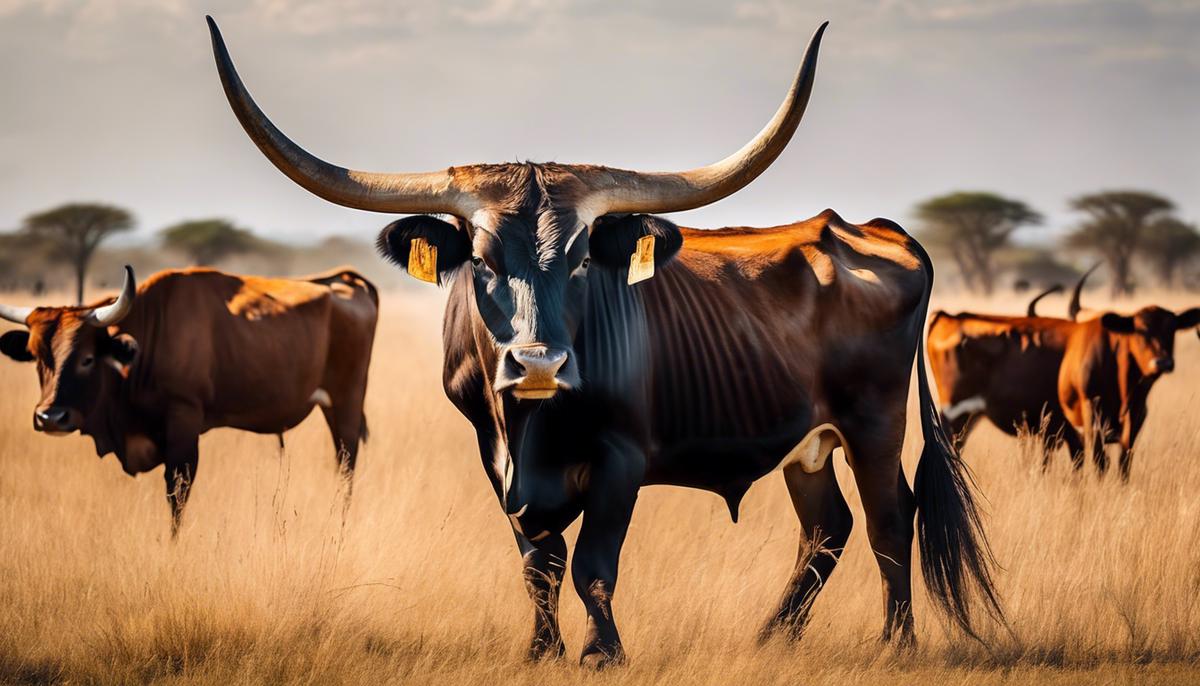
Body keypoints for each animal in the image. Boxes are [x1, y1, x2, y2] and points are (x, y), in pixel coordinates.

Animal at [0, 265, 379, 532]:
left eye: (87, 358)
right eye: (37, 356)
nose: (50, 417)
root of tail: (343, 280)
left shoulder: (184, 422)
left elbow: (177, 494)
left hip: (345, 403)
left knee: (345, 467)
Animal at [208, 18, 1003, 662]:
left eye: (583, 257)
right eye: (483, 259)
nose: (539, 363)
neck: (530, 425)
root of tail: (871, 229)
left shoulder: (620, 459)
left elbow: (593, 562)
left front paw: (600, 653)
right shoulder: (494, 460)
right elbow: (539, 565)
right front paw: (541, 651)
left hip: (874, 423)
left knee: (890, 520)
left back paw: (895, 644)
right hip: (807, 443)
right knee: (826, 528)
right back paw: (771, 638)